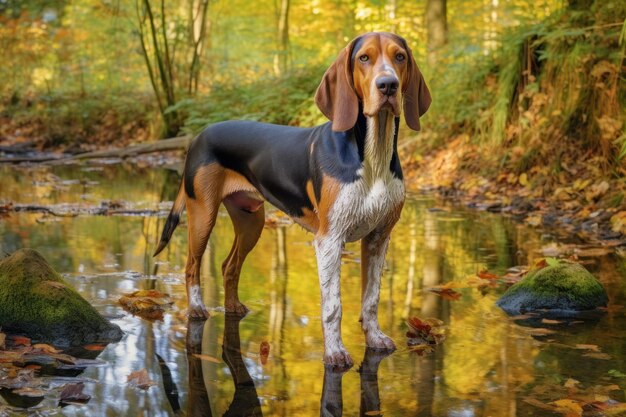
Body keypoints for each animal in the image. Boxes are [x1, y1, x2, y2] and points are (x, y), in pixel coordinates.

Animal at [155, 30, 428, 366]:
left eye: (399, 57)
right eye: (364, 58)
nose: (388, 85)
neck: (373, 155)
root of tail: (197, 137)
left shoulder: (379, 237)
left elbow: (371, 298)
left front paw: (374, 338)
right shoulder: (329, 239)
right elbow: (333, 306)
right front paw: (335, 352)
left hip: (251, 221)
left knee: (229, 266)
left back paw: (233, 307)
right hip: (203, 215)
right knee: (192, 265)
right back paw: (196, 309)